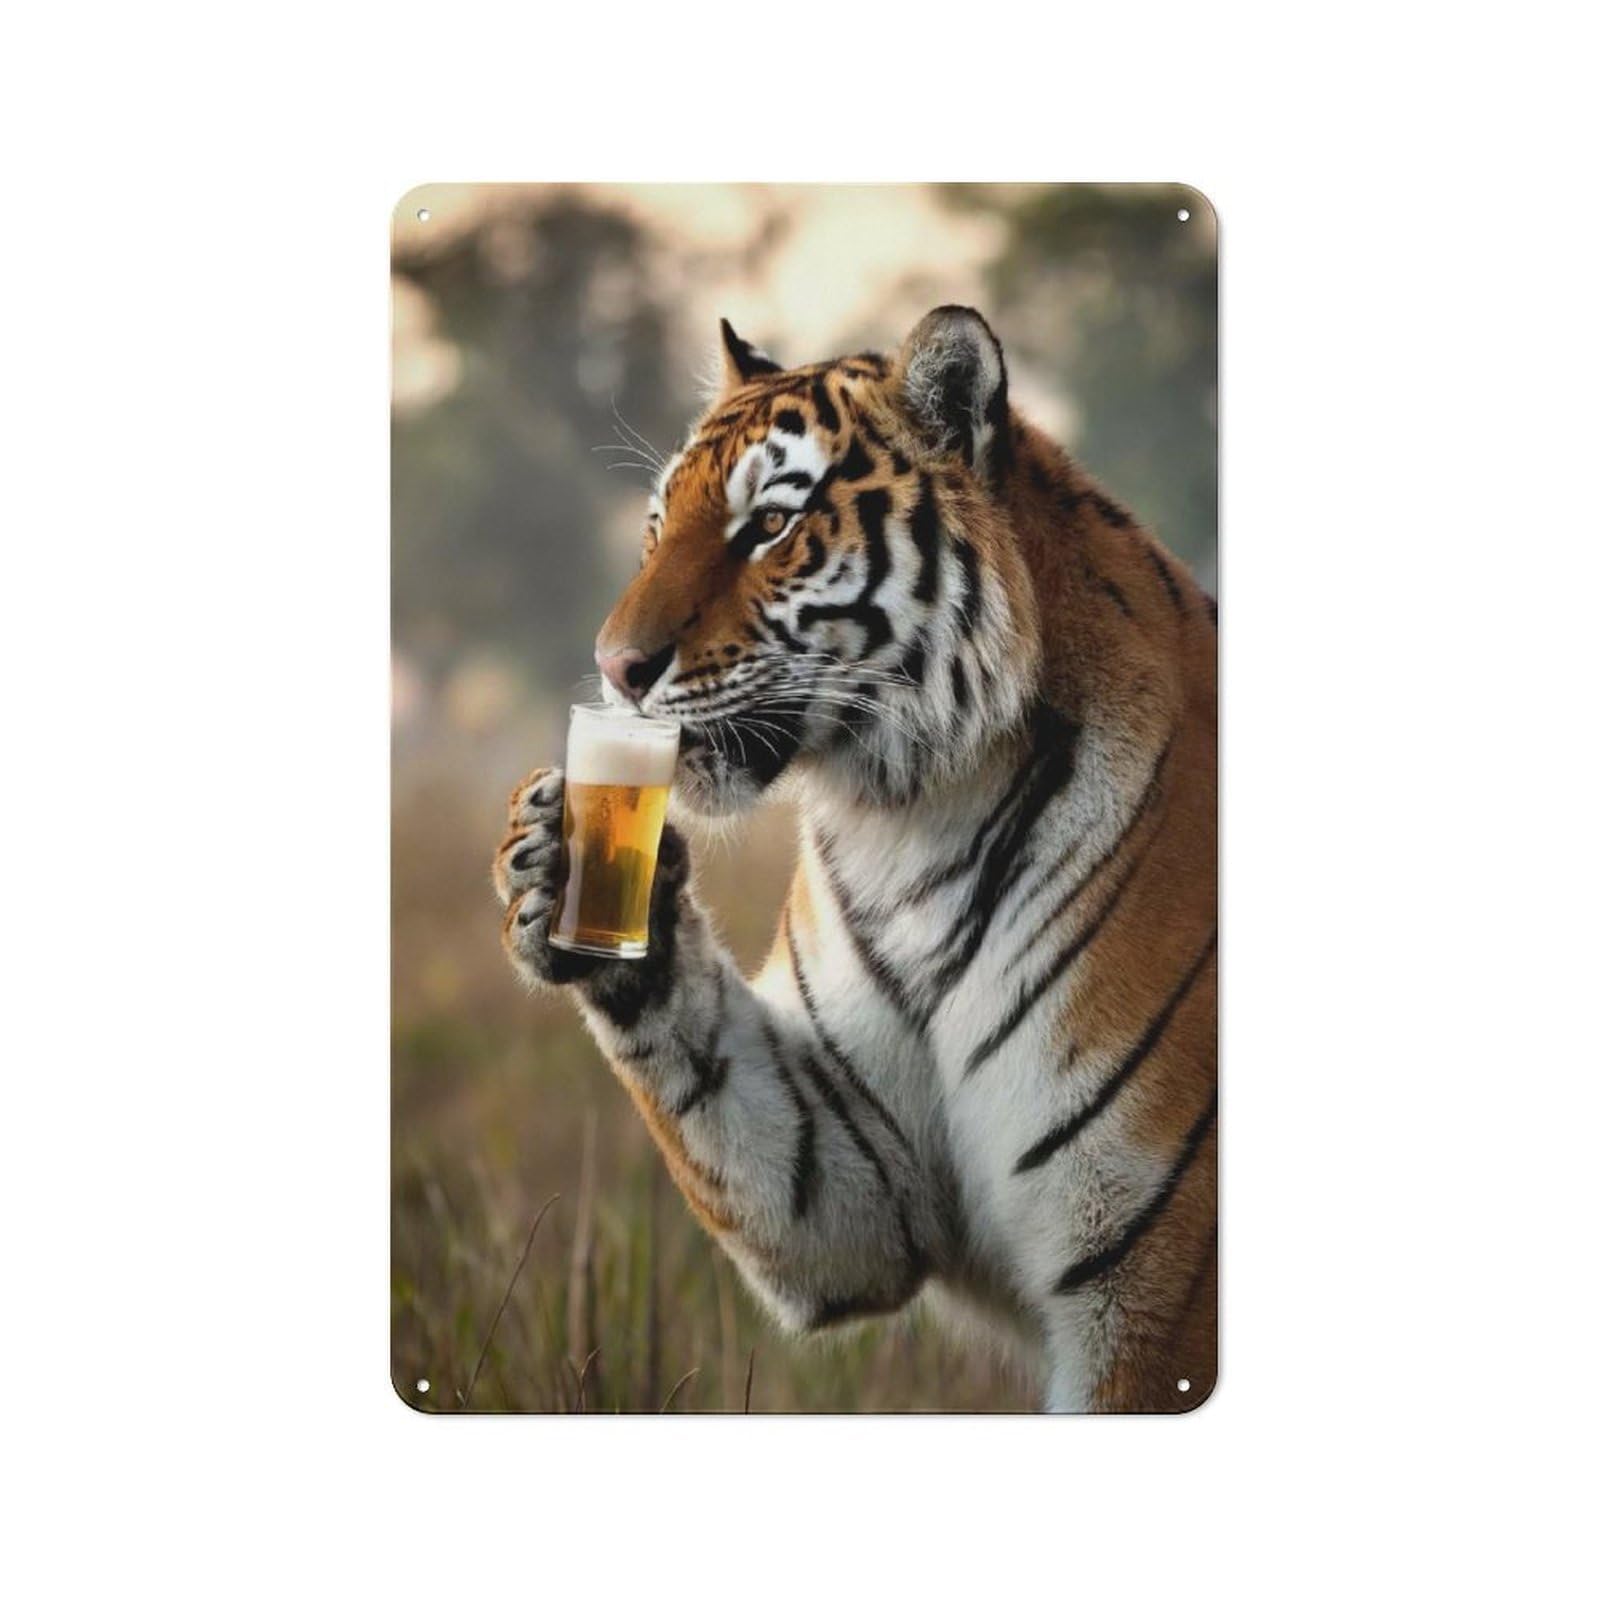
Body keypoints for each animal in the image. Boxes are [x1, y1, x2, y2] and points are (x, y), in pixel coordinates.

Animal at [494, 307, 1217, 1413]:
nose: (614, 670)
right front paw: (553, 866)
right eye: (657, 527)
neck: (915, 822)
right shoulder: (856, 1185)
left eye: (767, 526)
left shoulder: (1151, 1288)